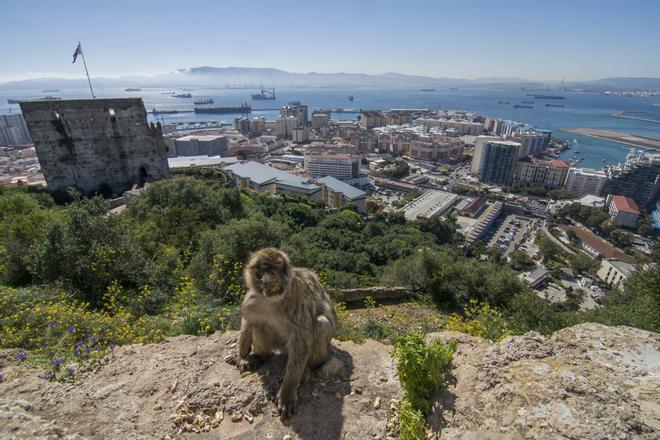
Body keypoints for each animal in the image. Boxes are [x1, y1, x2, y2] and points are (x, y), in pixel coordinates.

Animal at [238, 247, 336, 420]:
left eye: (278, 264)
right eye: (266, 264)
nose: (274, 275)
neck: (272, 300)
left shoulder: (296, 299)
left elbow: (301, 339)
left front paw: (288, 392)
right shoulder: (251, 300)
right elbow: (249, 319)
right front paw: (243, 348)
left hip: (320, 351)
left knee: (321, 324)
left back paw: (306, 370)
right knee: (259, 324)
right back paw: (260, 356)